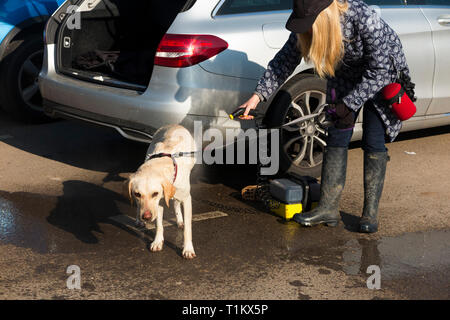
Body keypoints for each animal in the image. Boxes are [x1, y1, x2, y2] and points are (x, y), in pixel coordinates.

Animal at [126, 124, 197, 258]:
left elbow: (188, 229)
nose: (146, 217)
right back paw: (139, 220)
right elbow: (158, 225)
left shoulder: (186, 199)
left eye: (155, 193)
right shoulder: (158, 203)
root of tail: (175, 125)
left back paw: (180, 220)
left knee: (176, 203)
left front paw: (188, 249)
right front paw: (157, 242)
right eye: (137, 194)